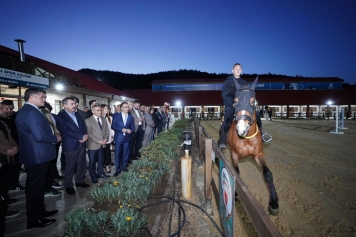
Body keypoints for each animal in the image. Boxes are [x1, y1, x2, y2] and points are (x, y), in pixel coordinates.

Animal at [227, 77, 280, 216]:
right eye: (235, 101)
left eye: (253, 102)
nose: (242, 128)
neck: (246, 138)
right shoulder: (234, 155)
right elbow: (236, 173)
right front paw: (236, 193)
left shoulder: (258, 155)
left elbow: (268, 174)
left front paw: (274, 202)